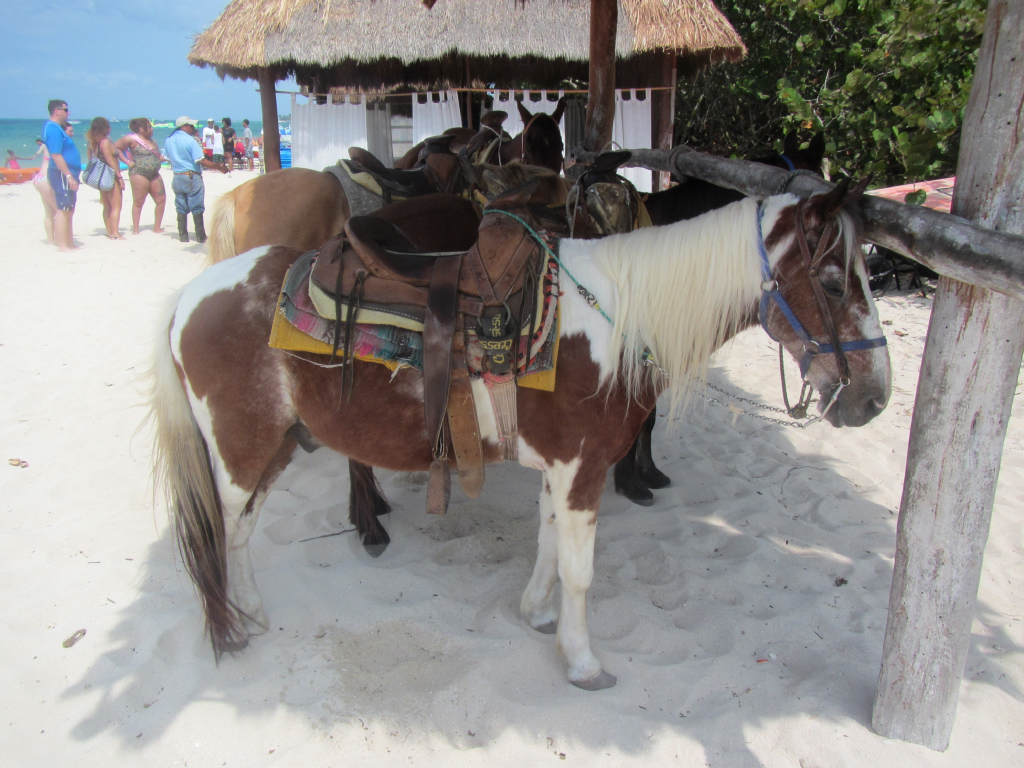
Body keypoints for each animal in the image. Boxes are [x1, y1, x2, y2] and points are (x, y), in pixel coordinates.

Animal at [149, 179, 888, 692]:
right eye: (832, 282)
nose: (874, 398)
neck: (617, 315)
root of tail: (189, 297)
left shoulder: (560, 468)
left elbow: (547, 545)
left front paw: (537, 615)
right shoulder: (585, 469)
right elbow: (581, 571)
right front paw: (583, 662)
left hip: (275, 446)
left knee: (241, 530)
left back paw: (250, 614)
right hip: (240, 453)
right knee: (221, 530)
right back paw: (230, 627)